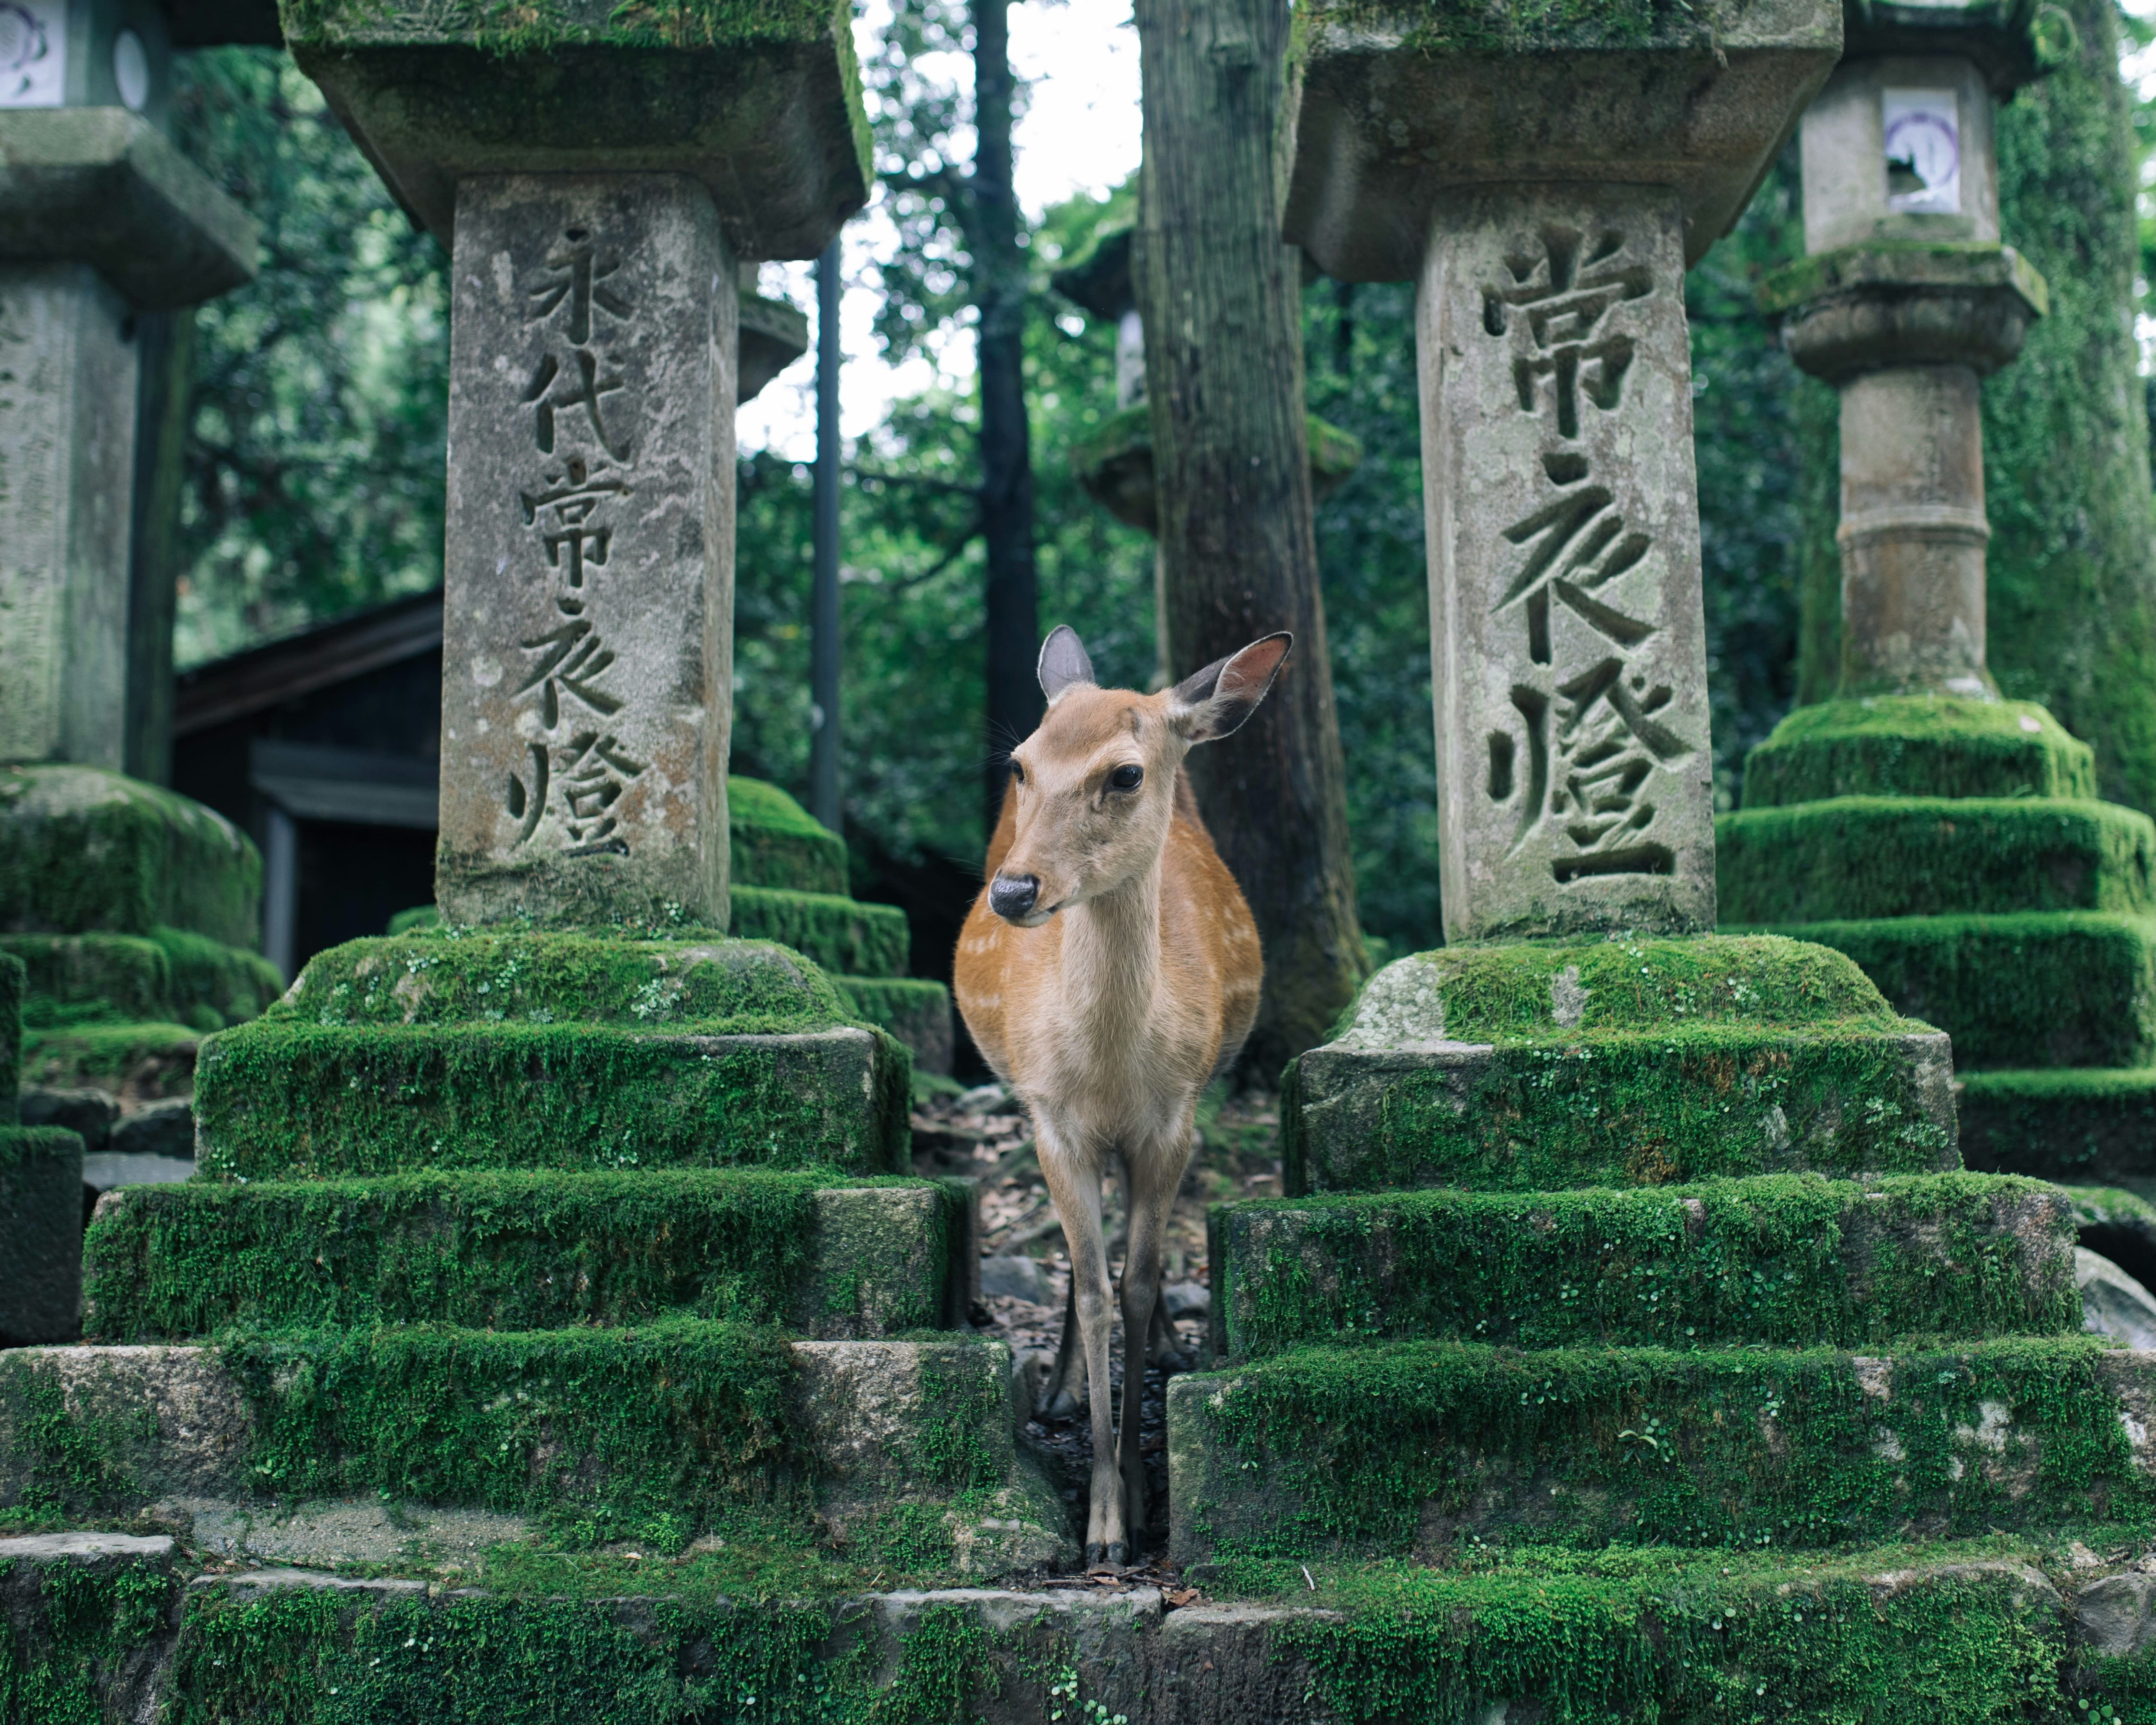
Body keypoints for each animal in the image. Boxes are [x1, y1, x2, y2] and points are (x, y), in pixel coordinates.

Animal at [953, 623, 1290, 1568]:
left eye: (1126, 772)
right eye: (1021, 764)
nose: (1013, 890)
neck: (1108, 1069)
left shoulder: (1171, 1117)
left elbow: (1137, 1284)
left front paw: (1141, 1502)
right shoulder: (1052, 1117)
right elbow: (1096, 1287)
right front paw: (1100, 1523)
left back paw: (1172, 1349)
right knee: (1078, 1265)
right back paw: (1060, 1389)